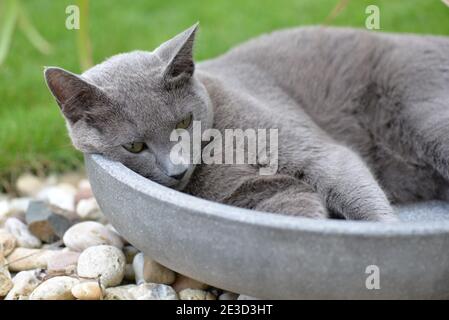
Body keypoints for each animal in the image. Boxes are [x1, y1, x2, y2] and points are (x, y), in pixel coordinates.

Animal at [43, 23, 448, 221]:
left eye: (184, 122)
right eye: (135, 146)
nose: (177, 170)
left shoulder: (317, 153)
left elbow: (359, 198)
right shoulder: (260, 194)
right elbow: (299, 210)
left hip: (422, 110)